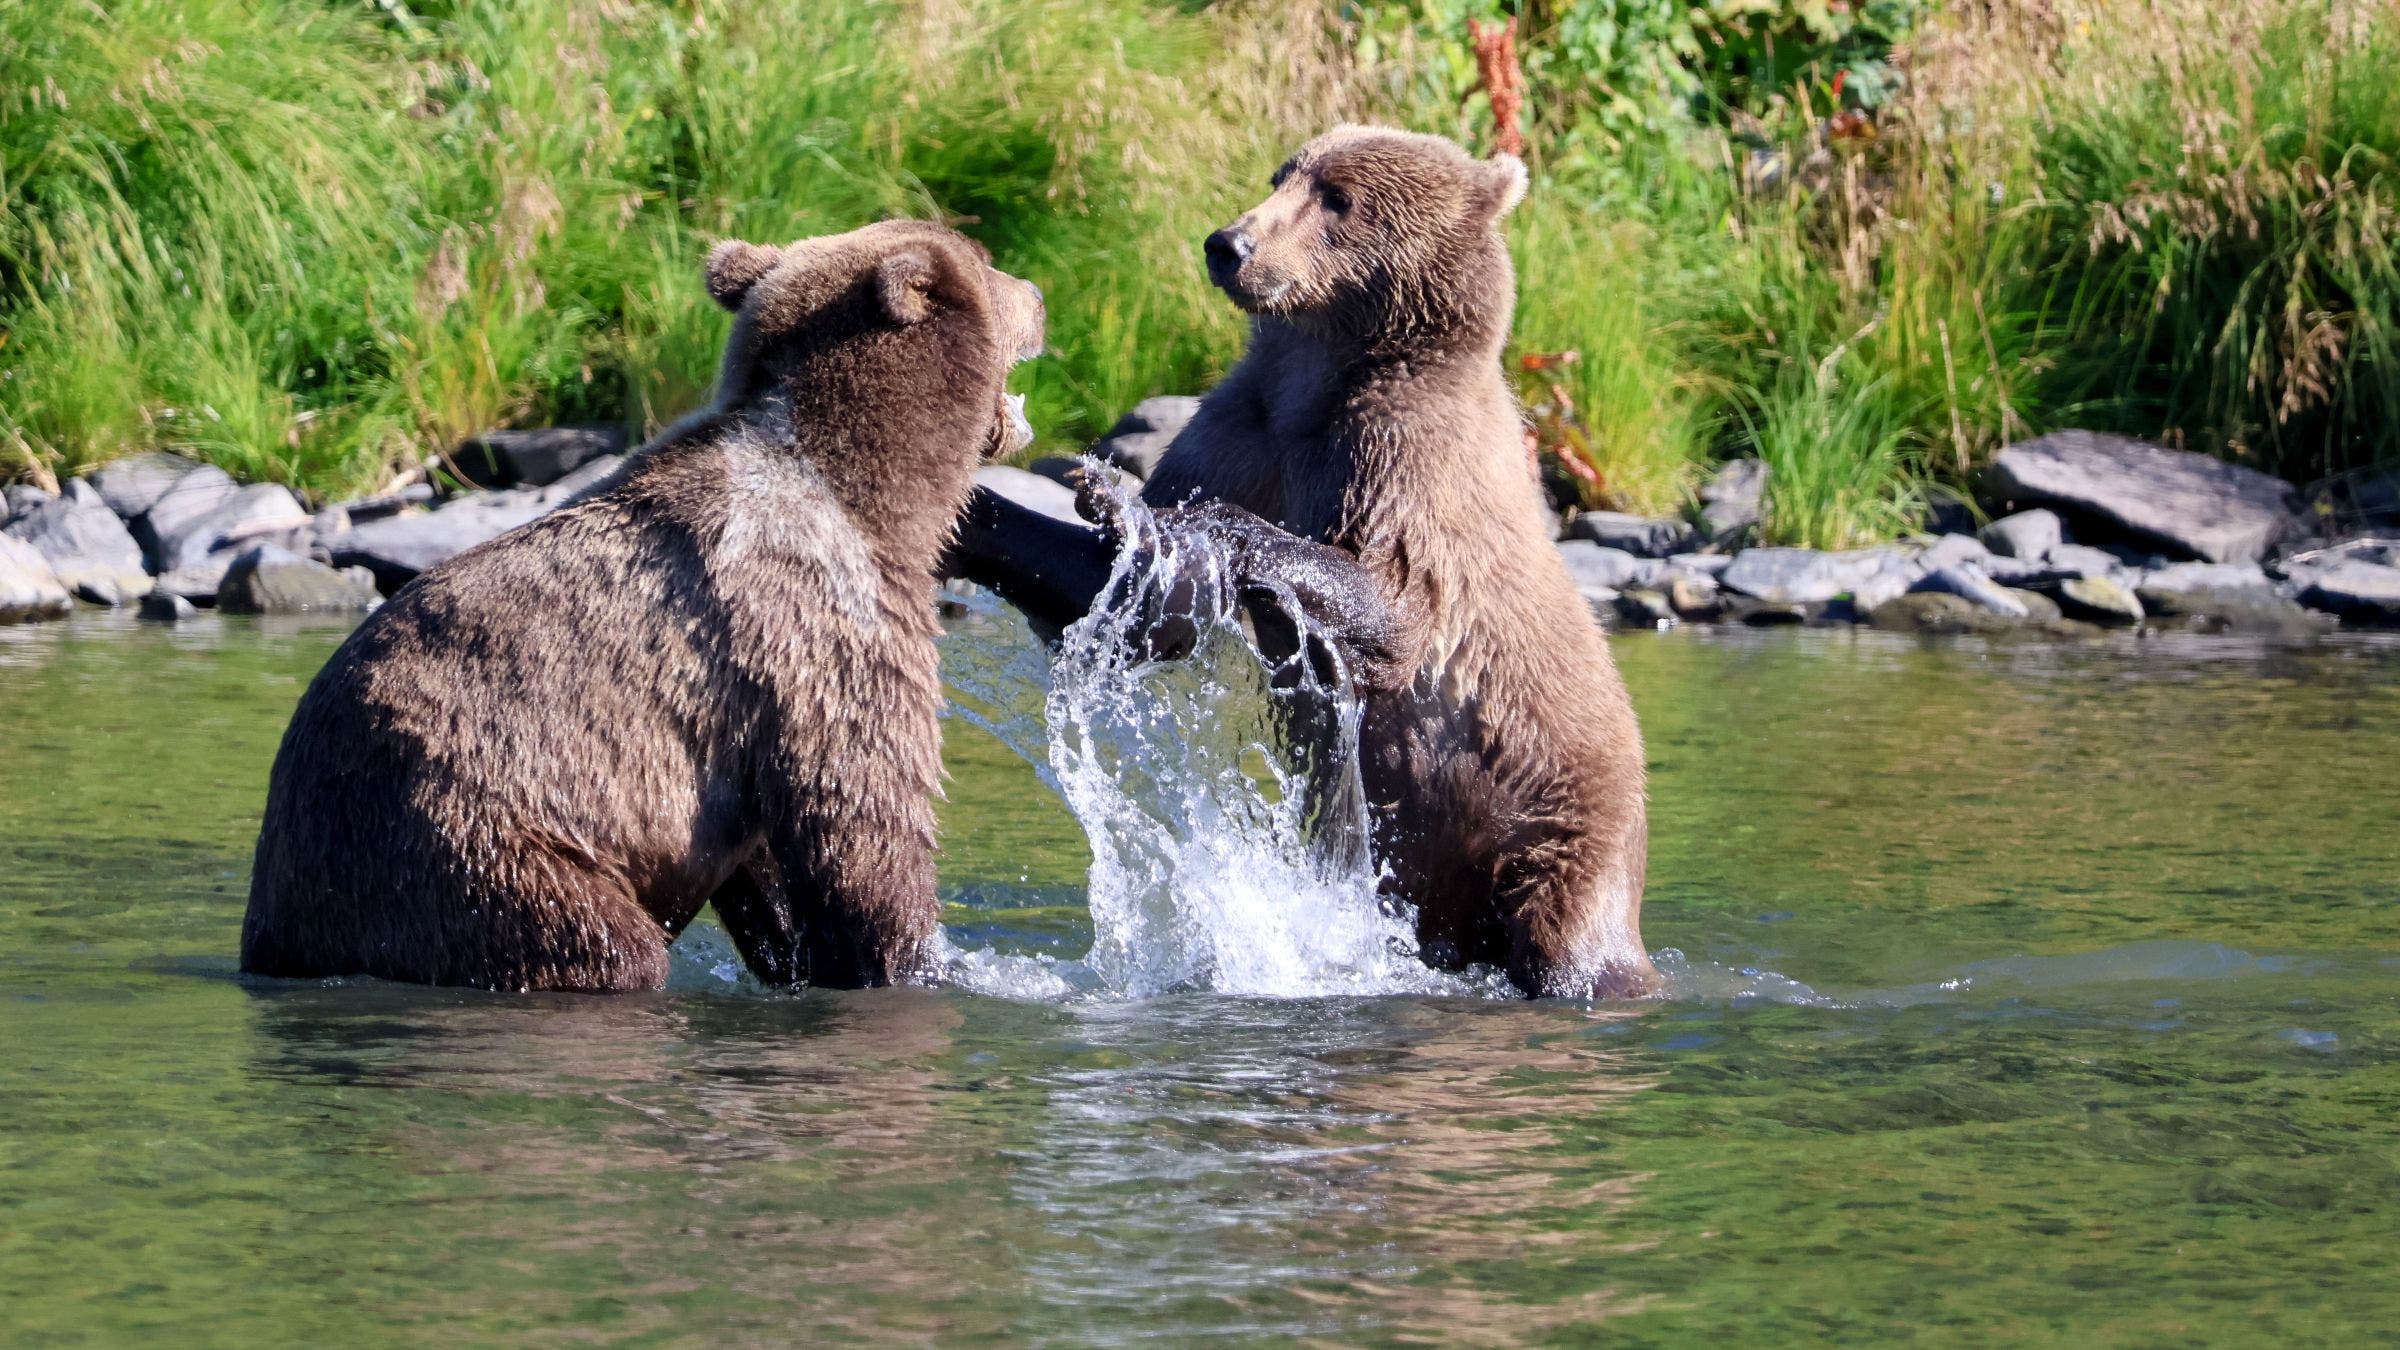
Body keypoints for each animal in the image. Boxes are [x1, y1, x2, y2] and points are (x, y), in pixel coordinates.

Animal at [241, 219, 1046, 992]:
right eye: (986, 258)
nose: (1038, 295)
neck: (875, 493)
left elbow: (767, 862)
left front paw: (805, 955)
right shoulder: (819, 626)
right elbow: (865, 819)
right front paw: (918, 962)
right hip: (463, 842)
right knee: (595, 939)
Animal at [947, 127, 1657, 999]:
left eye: (1339, 198)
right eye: (1282, 175)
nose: (1230, 245)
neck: (1320, 379)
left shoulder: (1401, 457)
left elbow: (1395, 606)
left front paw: (1139, 508)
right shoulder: (1246, 429)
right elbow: (1126, 602)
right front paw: (986, 507)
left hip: (1555, 822)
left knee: (1573, 939)